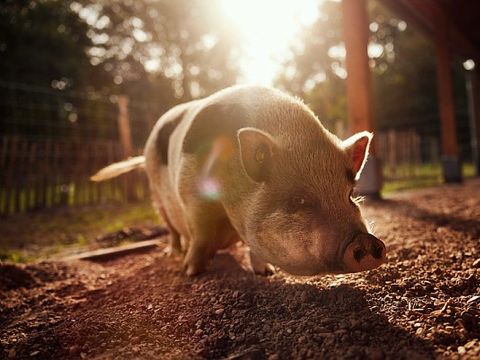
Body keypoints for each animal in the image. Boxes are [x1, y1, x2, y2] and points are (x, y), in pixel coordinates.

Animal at [93, 86, 386, 278]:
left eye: (350, 193)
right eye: (299, 200)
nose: (366, 241)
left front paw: (266, 273)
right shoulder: (192, 197)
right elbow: (200, 236)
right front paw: (191, 273)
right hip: (157, 198)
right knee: (172, 230)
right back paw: (173, 254)